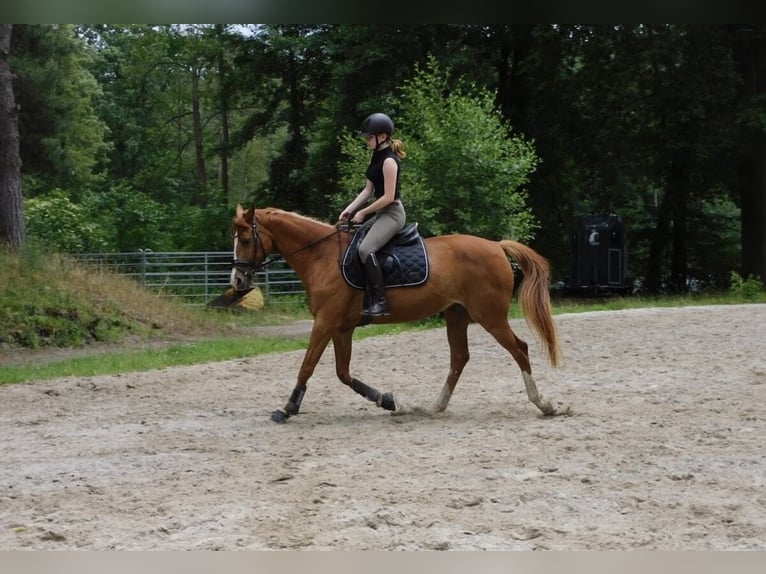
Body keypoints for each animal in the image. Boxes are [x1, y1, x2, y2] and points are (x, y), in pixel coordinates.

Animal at [230, 204, 564, 423]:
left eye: (246, 240)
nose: (238, 281)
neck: (321, 256)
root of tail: (496, 246)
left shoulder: (325, 322)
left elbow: (307, 365)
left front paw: (286, 408)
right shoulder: (342, 328)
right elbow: (343, 373)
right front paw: (386, 400)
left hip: (489, 316)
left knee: (519, 349)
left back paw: (544, 404)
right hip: (457, 314)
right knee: (460, 358)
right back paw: (435, 407)